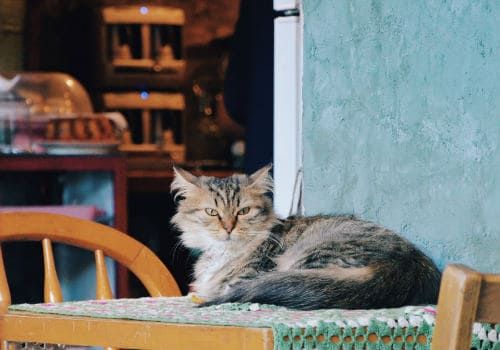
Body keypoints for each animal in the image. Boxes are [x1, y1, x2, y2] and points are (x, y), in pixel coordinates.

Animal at [171, 165, 442, 310]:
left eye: (243, 211)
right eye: (212, 212)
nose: (228, 228)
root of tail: (403, 268)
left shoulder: (247, 276)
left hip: (307, 258)